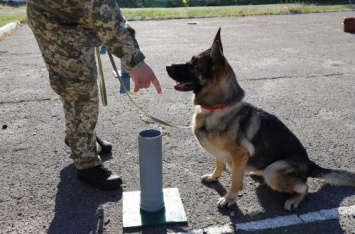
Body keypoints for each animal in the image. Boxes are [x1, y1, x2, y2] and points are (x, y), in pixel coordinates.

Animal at [166, 27, 355, 210]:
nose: (167, 66)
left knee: (304, 187)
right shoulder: (219, 152)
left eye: (194, 66)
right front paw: (214, 176)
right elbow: (219, 164)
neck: (217, 107)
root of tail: (310, 164)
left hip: (274, 170)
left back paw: (294, 200)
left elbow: (235, 180)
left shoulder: (239, 155)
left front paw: (230, 198)